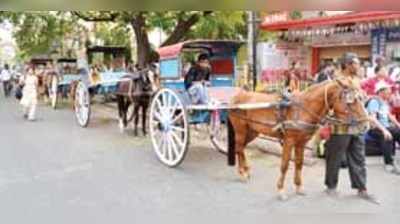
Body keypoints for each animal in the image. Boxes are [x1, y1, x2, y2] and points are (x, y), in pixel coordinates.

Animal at [228, 78, 368, 200]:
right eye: (351, 101)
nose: (366, 124)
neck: (303, 109)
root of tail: (236, 97)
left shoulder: (301, 143)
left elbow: (299, 163)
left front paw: (299, 187)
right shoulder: (289, 141)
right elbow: (284, 165)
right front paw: (281, 190)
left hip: (252, 131)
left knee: (241, 149)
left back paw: (245, 170)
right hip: (240, 130)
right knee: (239, 148)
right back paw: (242, 173)